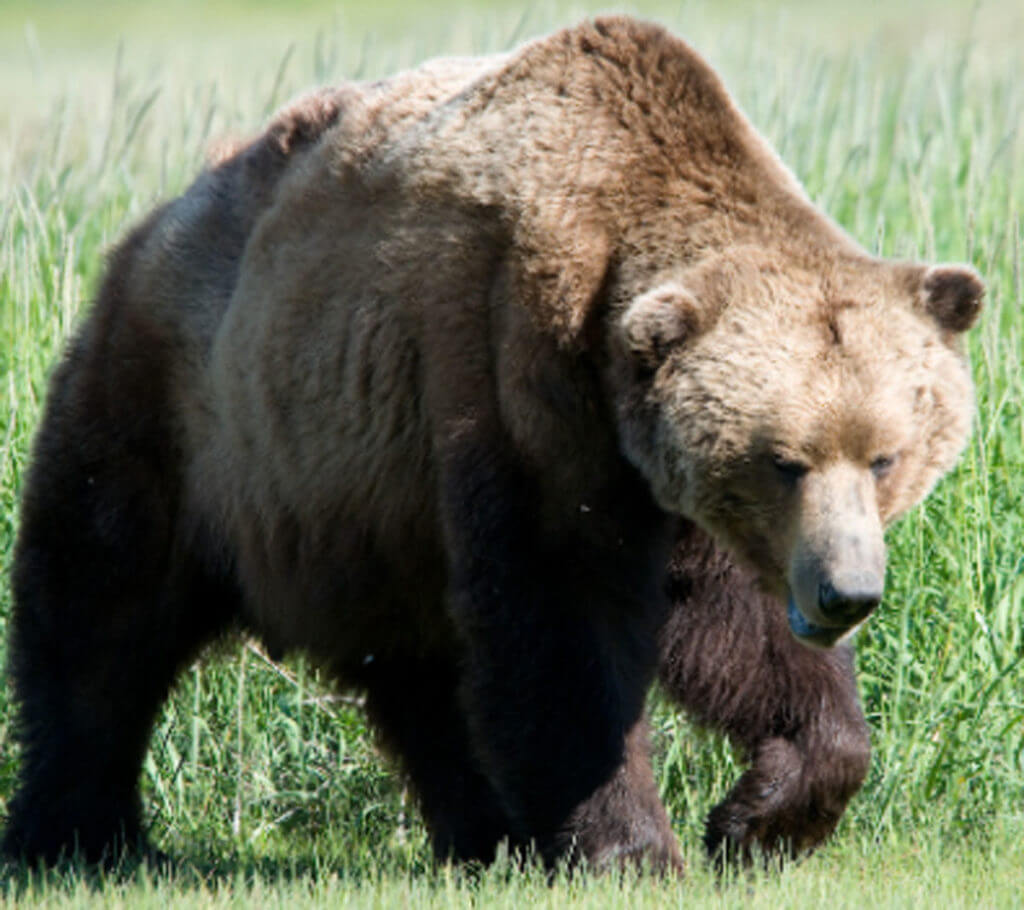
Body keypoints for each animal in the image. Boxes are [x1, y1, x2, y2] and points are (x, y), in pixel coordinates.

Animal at [6, 19, 983, 872]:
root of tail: (159, 218)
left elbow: (737, 631)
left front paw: (762, 814)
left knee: (421, 677)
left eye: (886, 455)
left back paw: (484, 833)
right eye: (783, 462)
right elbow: (560, 616)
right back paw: (82, 833)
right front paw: (632, 848)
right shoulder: (517, 377)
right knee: (99, 616)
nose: (846, 593)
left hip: (368, 512)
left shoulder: (665, 480)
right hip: (187, 417)